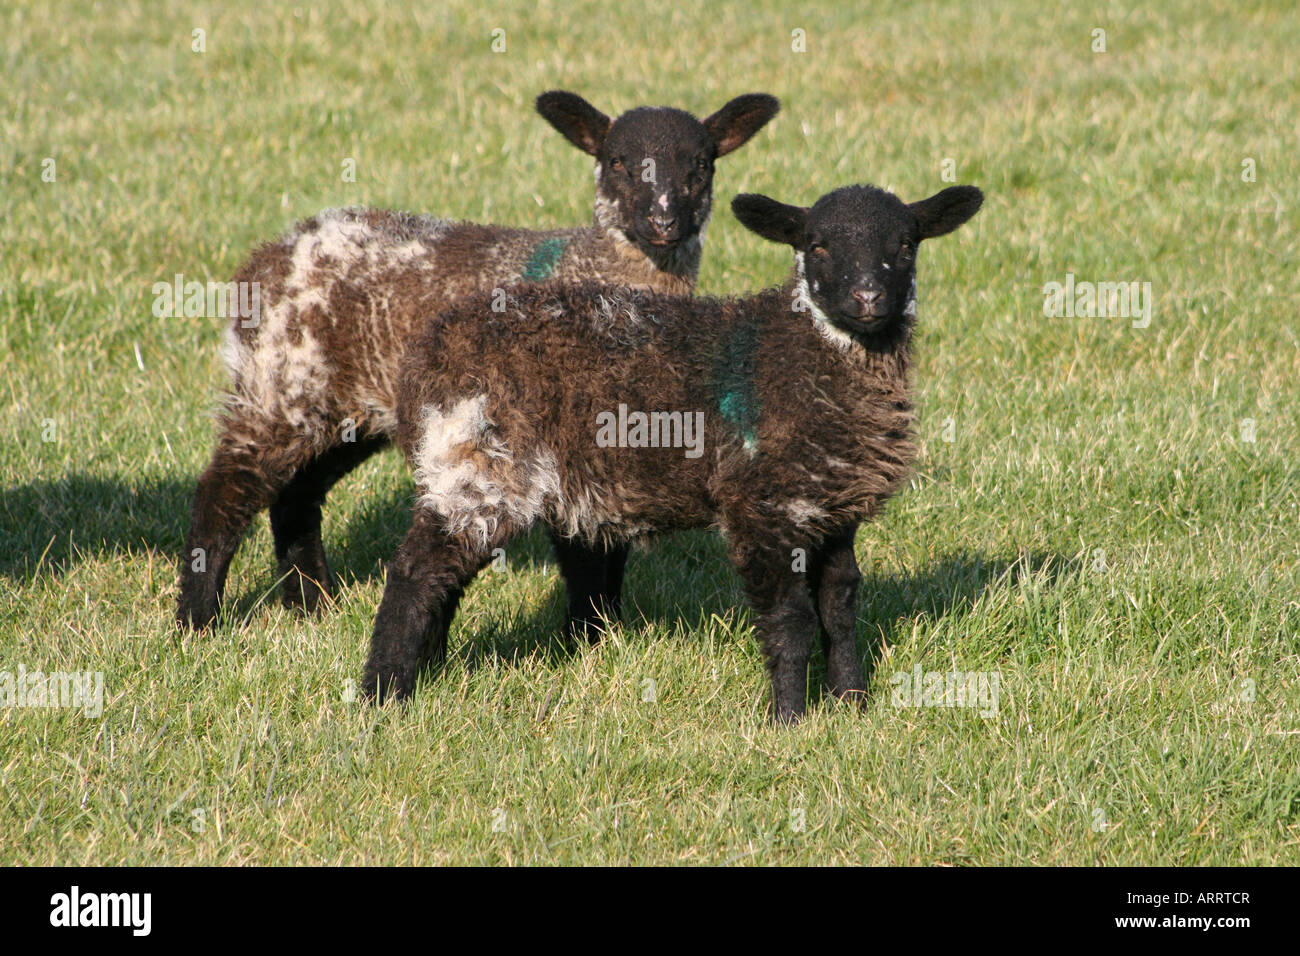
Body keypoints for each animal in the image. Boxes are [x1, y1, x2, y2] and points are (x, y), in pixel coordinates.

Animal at [175, 90, 780, 634]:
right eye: (617, 162)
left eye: (701, 165)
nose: (663, 223)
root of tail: (266, 258)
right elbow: (584, 549)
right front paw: (588, 634)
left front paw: (603, 632)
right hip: (281, 383)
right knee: (226, 489)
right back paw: (198, 620)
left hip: (349, 406)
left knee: (296, 497)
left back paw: (312, 606)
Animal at [362, 181, 984, 722]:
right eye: (818, 246)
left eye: (905, 245)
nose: (868, 298)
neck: (805, 351)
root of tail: (428, 351)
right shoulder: (760, 503)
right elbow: (791, 619)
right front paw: (789, 719)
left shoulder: (832, 507)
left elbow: (840, 605)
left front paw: (852, 703)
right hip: (478, 458)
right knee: (415, 571)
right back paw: (383, 695)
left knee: (445, 573)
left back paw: (428, 671)